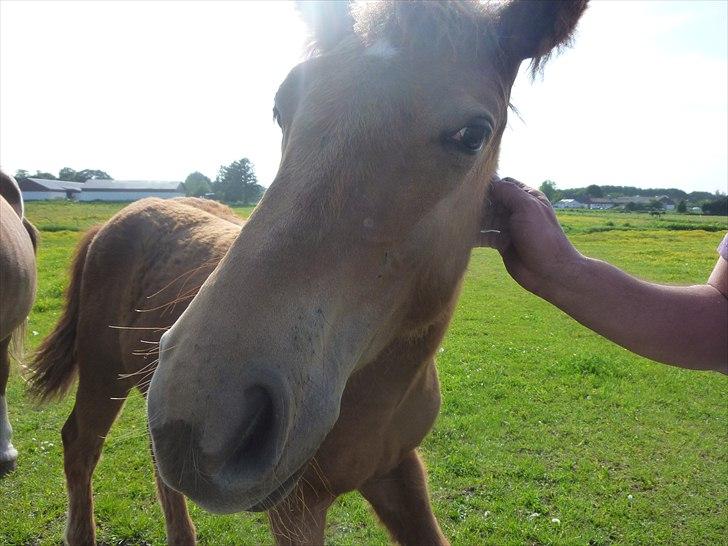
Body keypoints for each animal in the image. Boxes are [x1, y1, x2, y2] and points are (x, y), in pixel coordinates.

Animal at [28, 2, 588, 540]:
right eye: (282, 105)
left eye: (473, 134)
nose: (204, 413)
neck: (381, 385)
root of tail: (115, 220)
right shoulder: (297, 508)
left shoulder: (397, 471)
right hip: (105, 374)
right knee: (80, 445)